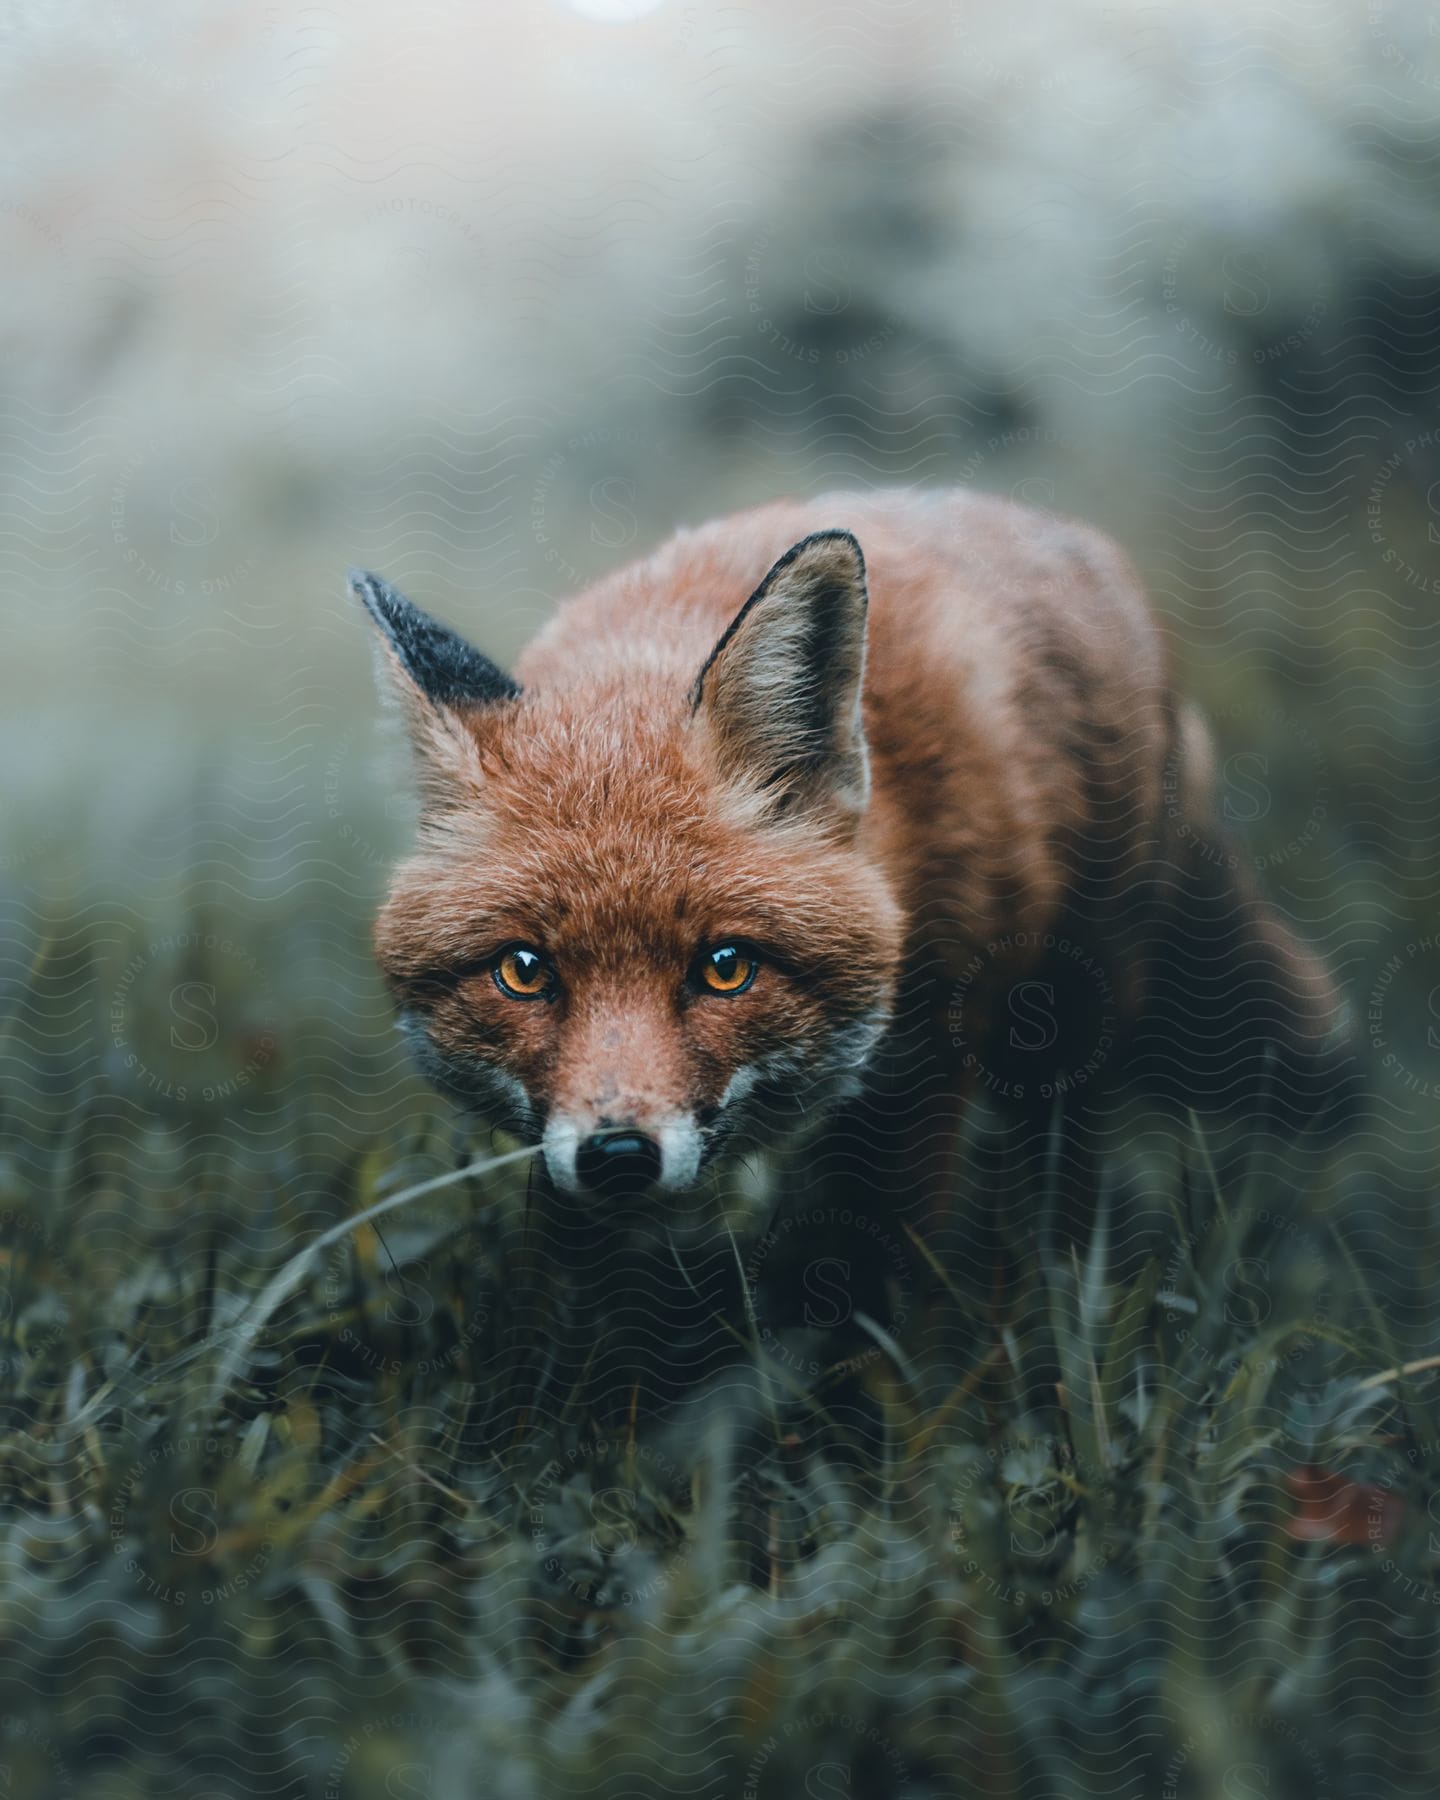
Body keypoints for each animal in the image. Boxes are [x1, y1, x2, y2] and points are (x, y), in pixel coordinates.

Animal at [354, 493, 1353, 1216]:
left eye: (726, 967)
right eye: (523, 971)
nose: (620, 1156)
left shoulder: (932, 1058)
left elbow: (879, 1284)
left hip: (1070, 1014)